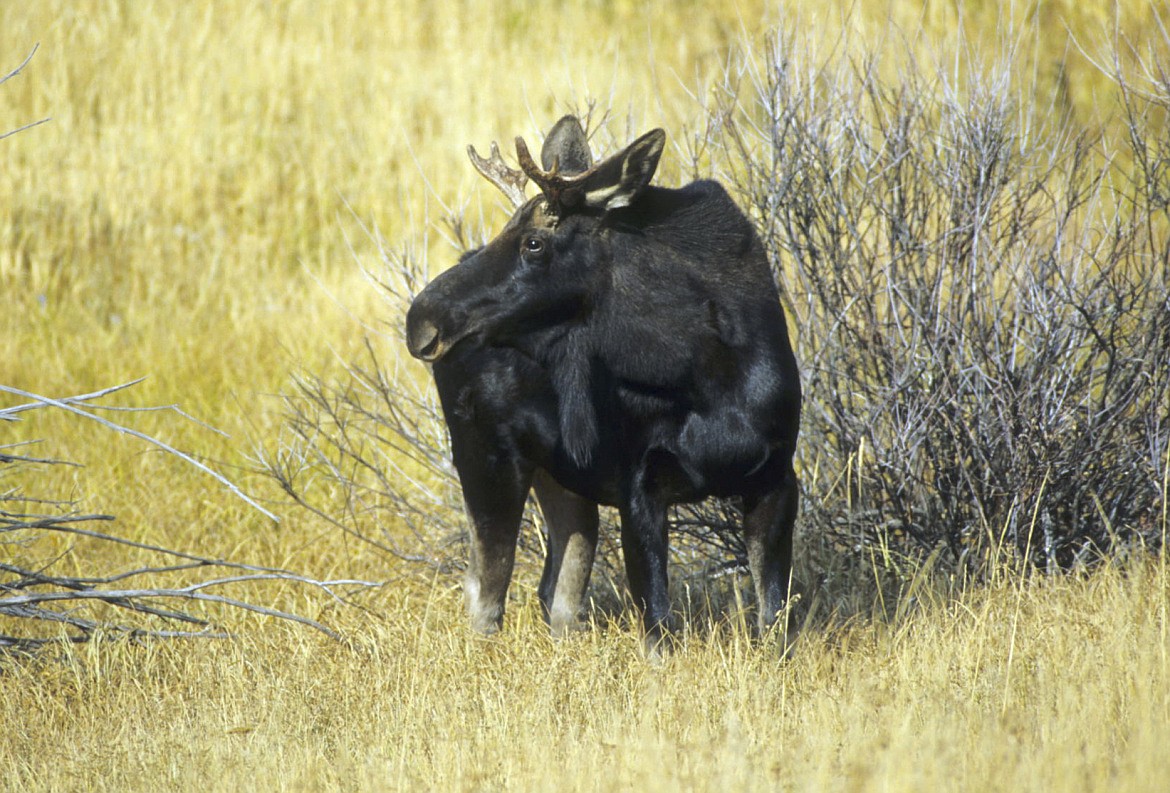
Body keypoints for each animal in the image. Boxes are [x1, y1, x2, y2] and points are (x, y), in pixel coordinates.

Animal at [407, 116, 800, 650]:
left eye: (534, 242)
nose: (421, 320)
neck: (708, 374)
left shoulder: (776, 476)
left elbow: (775, 620)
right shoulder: (639, 484)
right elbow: (657, 627)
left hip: (563, 479)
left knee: (557, 592)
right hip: (485, 455)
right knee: (485, 593)